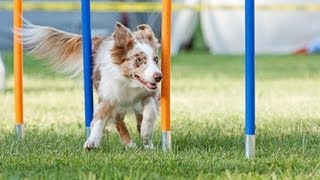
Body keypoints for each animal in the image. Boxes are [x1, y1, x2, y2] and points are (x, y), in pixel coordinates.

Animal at [21, 21, 162, 150]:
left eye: (155, 59)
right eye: (138, 60)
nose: (158, 77)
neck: (129, 83)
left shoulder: (150, 93)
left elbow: (150, 111)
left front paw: (146, 133)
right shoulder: (107, 96)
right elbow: (100, 118)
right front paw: (92, 141)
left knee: (136, 120)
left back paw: (147, 144)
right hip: (118, 106)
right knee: (119, 121)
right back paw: (130, 145)